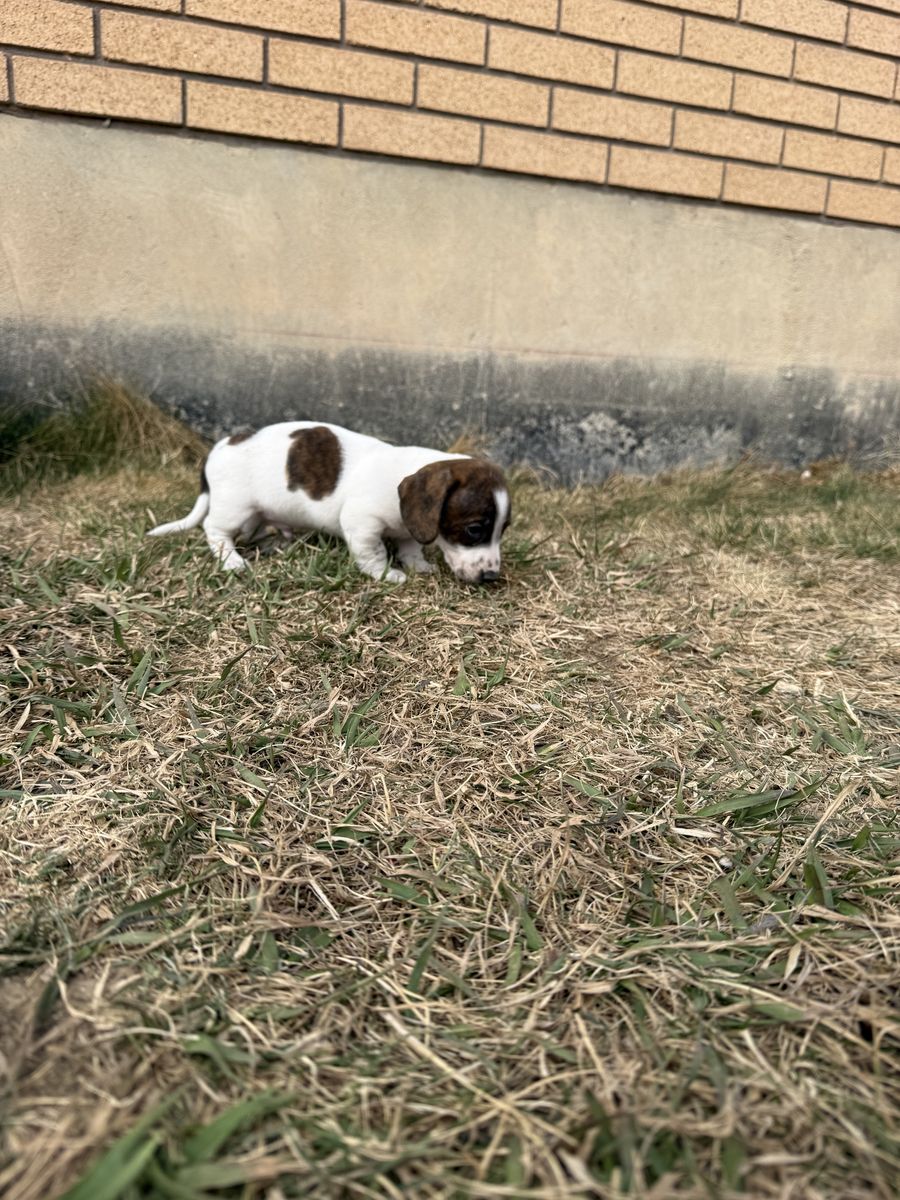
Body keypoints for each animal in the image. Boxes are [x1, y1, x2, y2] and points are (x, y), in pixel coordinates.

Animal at [147, 421, 511, 584]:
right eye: (475, 529)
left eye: (503, 530)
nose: (492, 576)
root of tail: (220, 446)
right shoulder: (362, 524)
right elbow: (373, 553)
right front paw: (386, 574)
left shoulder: (407, 526)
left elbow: (410, 547)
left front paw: (417, 564)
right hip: (234, 507)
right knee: (215, 530)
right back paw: (232, 560)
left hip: (255, 513)